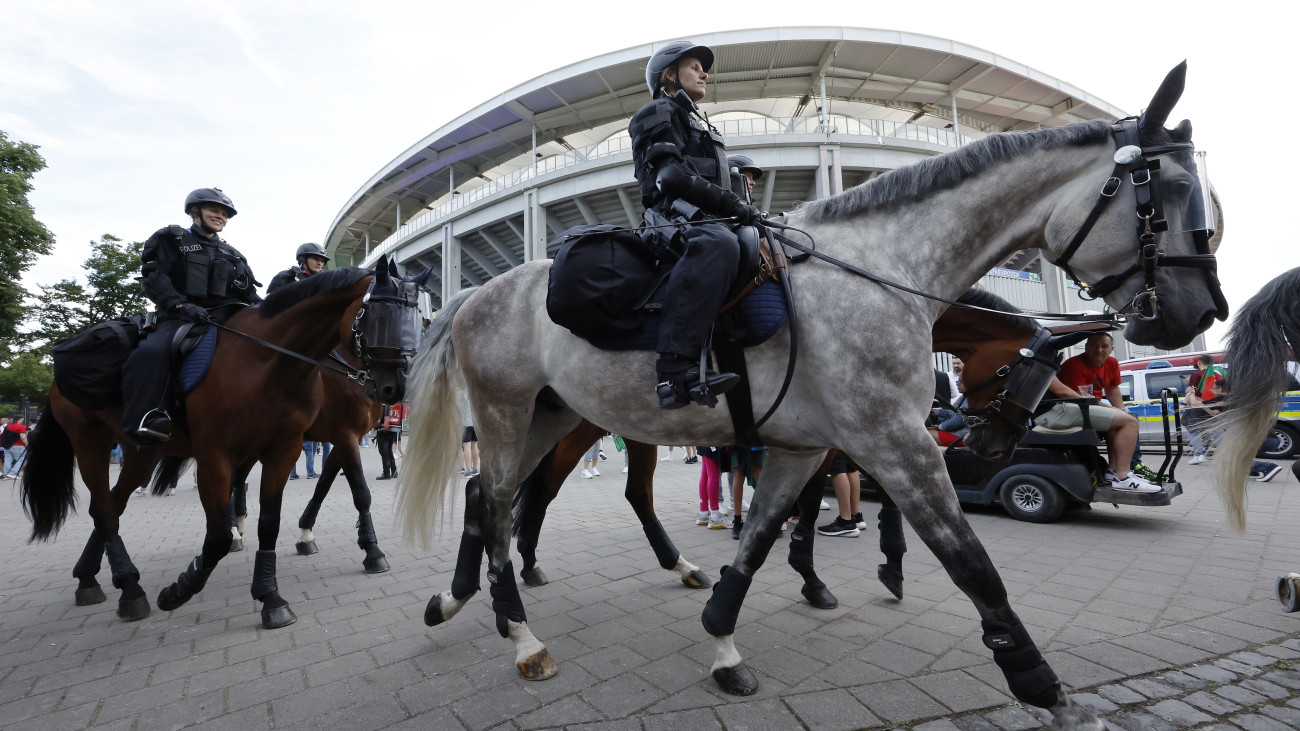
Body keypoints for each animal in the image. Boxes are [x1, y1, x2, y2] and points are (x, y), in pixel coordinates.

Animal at [20, 257, 418, 626]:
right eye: (381, 316)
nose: (396, 385)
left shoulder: (311, 442)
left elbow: (306, 497)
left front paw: (296, 552)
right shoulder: (333, 436)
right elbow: (358, 492)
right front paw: (371, 551)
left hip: (139, 451)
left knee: (112, 506)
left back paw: (93, 577)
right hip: (90, 442)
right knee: (105, 508)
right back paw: (131, 586)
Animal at [392, 65, 1216, 723]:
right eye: (1173, 195)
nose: (1200, 311)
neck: (882, 270)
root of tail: (473, 294)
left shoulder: (805, 447)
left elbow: (758, 541)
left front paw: (725, 640)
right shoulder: (897, 442)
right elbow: (970, 562)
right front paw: (1042, 686)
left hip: (549, 415)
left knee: (487, 500)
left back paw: (456, 601)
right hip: (508, 414)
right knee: (502, 502)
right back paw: (521, 634)